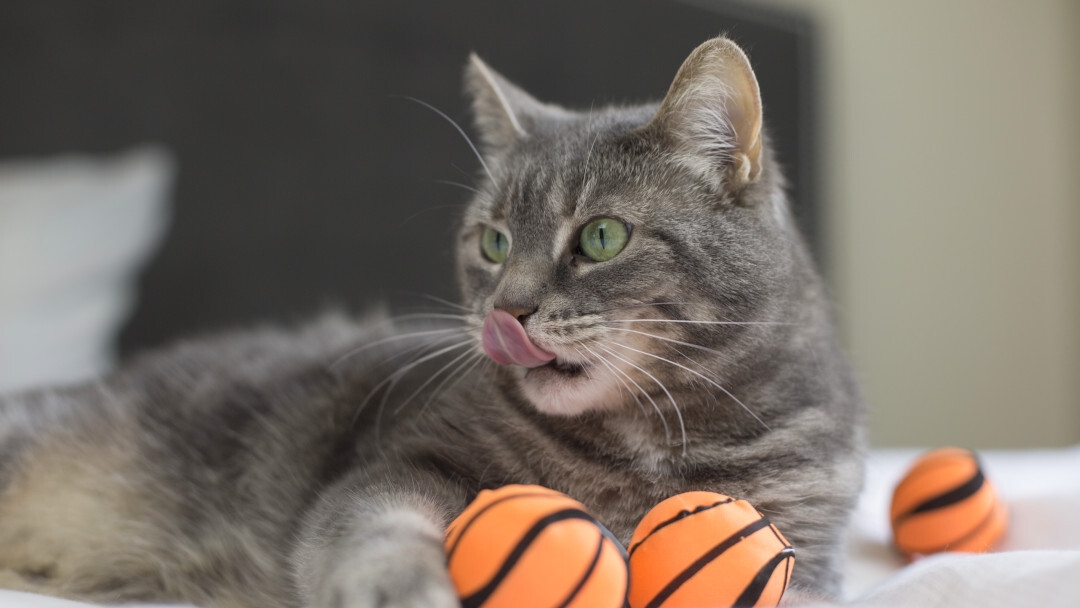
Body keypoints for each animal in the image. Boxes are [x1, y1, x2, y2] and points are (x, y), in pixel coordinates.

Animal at [0, 38, 859, 608]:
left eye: (601, 238)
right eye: (493, 242)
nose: (506, 310)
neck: (645, 443)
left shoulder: (808, 551)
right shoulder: (403, 462)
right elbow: (376, 529)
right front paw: (402, 588)